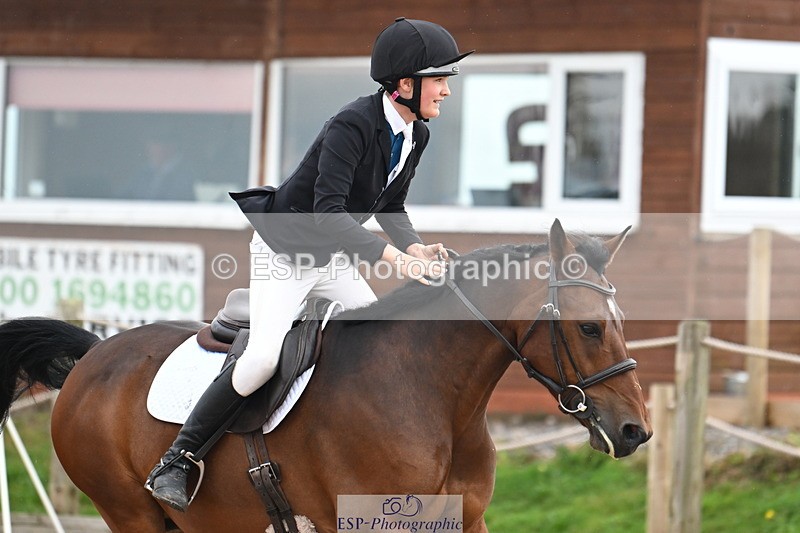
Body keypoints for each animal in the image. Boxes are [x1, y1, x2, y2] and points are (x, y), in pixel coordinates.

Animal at [0, 220, 651, 533]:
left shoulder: (469, 520)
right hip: (132, 514)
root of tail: (95, 354)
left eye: (621, 322)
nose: (635, 431)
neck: (437, 399)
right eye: (590, 328)